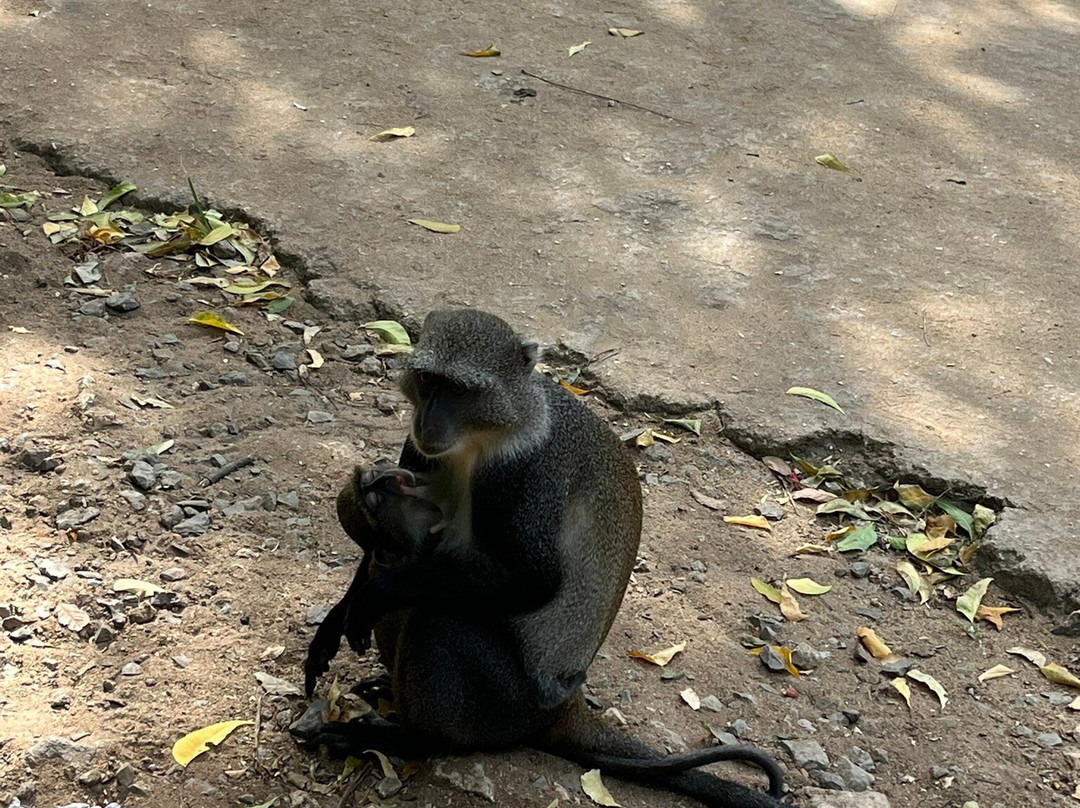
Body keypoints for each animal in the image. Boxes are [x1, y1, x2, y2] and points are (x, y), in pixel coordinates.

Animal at [300, 311, 790, 808]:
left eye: (458, 391)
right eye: (426, 381)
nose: (428, 420)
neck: (491, 430)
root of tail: (564, 707)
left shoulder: (525, 472)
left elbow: (534, 581)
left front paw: (374, 595)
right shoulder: (418, 451)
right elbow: (376, 560)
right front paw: (337, 619)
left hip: (508, 703)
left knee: (437, 620)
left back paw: (410, 740)